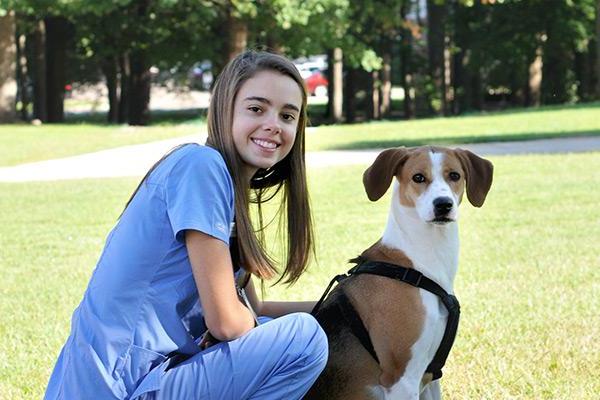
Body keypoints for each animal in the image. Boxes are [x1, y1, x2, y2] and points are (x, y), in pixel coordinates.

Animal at [308, 147, 494, 400]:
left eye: (454, 175)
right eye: (418, 177)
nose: (443, 205)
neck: (416, 265)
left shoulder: (430, 375)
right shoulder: (401, 379)